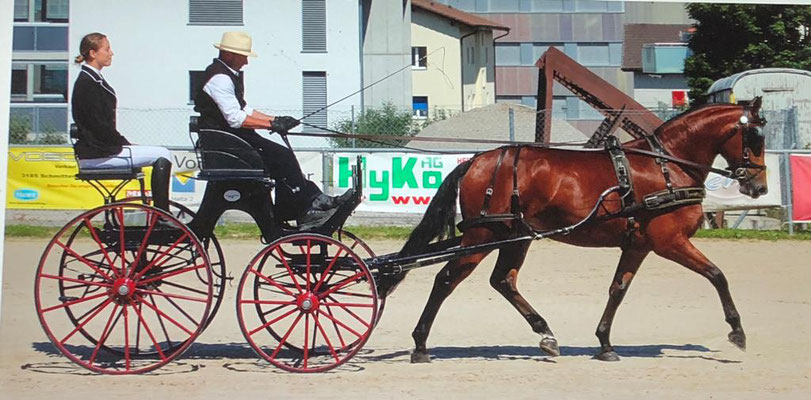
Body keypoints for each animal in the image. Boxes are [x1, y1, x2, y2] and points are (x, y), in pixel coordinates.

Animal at [384, 97, 772, 362]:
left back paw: (546, 334)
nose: (759, 187)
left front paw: (605, 343)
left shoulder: (638, 245)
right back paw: (420, 344)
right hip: (483, 237)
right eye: (754, 136)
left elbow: (618, 289)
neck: (667, 167)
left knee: (503, 281)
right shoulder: (669, 242)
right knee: (447, 280)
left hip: (514, 238)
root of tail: (478, 161)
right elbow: (717, 275)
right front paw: (737, 330)